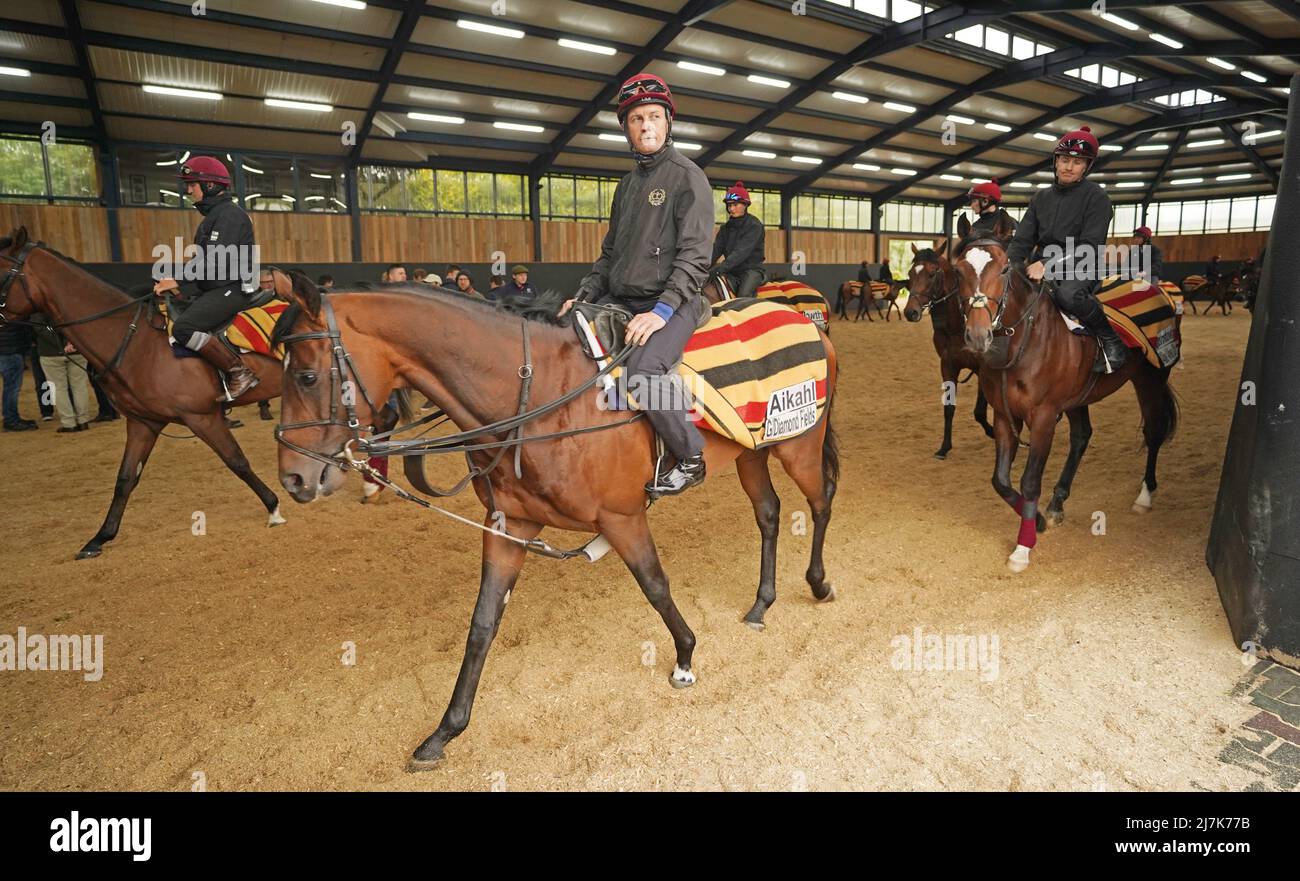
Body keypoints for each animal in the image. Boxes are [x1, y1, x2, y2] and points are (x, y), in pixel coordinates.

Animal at [0, 227, 289, 558]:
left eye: (0, 273)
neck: (139, 342)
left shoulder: (203, 417)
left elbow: (237, 461)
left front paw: (273, 508)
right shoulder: (143, 423)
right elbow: (125, 479)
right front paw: (100, 537)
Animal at [274, 275, 842, 774]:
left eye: (306, 376)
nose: (293, 477)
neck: (544, 397)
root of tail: (803, 319)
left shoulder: (623, 517)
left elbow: (656, 586)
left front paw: (684, 657)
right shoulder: (510, 526)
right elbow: (482, 624)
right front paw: (444, 732)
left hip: (799, 444)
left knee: (820, 504)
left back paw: (818, 583)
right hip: (754, 451)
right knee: (769, 513)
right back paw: (761, 603)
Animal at [904, 241, 993, 462]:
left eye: (932, 273)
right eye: (910, 273)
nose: (910, 312)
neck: (956, 326)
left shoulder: (983, 368)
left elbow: (980, 410)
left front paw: (994, 431)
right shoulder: (948, 365)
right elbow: (949, 408)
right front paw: (944, 448)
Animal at [956, 214, 1180, 571]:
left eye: (1003, 269)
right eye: (958, 270)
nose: (977, 335)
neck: (1023, 340)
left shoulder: (1044, 417)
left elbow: (1029, 480)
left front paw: (1023, 547)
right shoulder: (1004, 415)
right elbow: (1001, 480)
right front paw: (1037, 520)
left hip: (1151, 380)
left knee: (1154, 432)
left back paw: (1145, 496)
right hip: (1079, 398)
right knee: (1082, 436)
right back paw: (1057, 502)